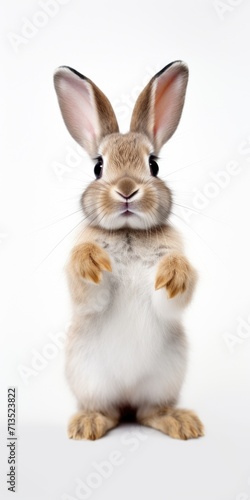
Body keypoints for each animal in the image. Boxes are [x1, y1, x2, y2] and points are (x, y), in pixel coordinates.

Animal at [53, 60, 204, 440]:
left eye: (154, 165)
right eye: (98, 167)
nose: (126, 190)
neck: (128, 233)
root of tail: (127, 402)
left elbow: (171, 294)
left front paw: (175, 273)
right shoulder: (88, 299)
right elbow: (88, 289)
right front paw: (91, 260)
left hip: (163, 380)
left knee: (150, 411)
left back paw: (180, 423)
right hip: (91, 380)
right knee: (106, 410)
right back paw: (88, 424)